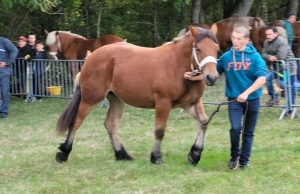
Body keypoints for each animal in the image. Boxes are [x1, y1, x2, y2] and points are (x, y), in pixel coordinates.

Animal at [54, 25, 218, 165]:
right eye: (198, 49)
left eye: (216, 49)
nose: (212, 77)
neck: (176, 66)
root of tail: (91, 56)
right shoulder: (163, 103)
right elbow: (160, 130)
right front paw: (156, 157)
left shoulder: (190, 103)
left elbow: (204, 122)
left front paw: (195, 154)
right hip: (90, 98)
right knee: (76, 122)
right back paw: (64, 152)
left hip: (117, 100)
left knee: (111, 124)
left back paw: (122, 154)